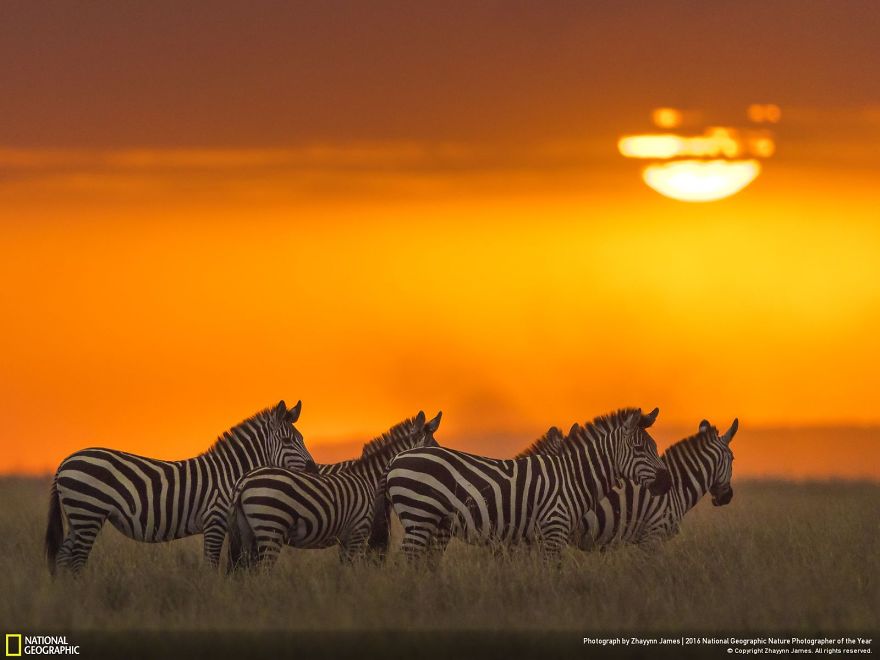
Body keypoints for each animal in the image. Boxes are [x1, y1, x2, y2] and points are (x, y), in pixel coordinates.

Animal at [45, 400, 316, 576]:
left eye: (302, 439)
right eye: (287, 440)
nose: (313, 468)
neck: (230, 474)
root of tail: (65, 462)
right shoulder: (215, 521)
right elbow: (210, 566)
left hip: (78, 517)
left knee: (63, 558)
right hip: (88, 512)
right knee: (76, 560)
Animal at [225, 410, 440, 568]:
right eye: (434, 450)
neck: (369, 479)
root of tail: (243, 481)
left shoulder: (348, 536)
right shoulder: (358, 533)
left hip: (248, 534)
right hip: (270, 527)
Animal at [380, 408, 672, 564]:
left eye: (656, 447)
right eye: (639, 449)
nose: (667, 482)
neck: (572, 477)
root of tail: (396, 458)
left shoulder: (538, 538)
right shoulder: (553, 530)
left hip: (432, 522)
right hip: (419, 514)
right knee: (408, 558)